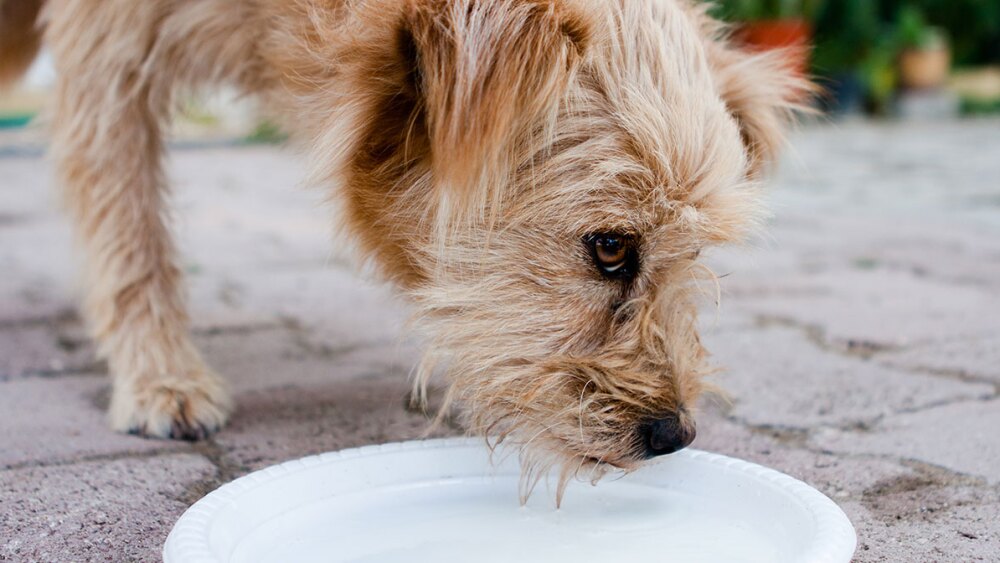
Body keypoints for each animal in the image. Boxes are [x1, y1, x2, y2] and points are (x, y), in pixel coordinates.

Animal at [0, 0, 808, 494]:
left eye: (692, 253)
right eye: (610, 247)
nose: (674, 435)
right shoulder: (108, 53)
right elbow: (128, 225)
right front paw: (158, 376)